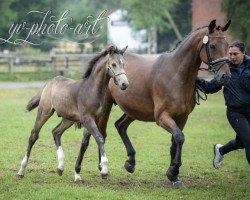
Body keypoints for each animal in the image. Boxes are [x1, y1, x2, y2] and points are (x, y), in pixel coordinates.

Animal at [17, 45, 129, 180]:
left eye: (124, 63)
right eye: (113, 64)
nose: (124, 84)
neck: (91, 90)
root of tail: (50, 82)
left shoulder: (94, 119)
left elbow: (85, 143)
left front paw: (77, 174)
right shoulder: (87, 119)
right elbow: (99, 138)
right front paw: (104, 170)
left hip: (68, 119)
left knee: (56, 132)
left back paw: (60, 167)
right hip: (44, 111)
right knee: (34, 135)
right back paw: (21, 170)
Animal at [75, 19, 231, 185]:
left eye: (227, 45)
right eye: (213, 46)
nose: (225, 76)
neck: (176, 75)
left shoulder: (182, 118)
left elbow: (175, 141)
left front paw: (173, 175)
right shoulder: (162, 117)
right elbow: (179, 137)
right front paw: (173, 170)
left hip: (134, 110)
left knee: (120, 126)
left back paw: (130, 162)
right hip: (105, 108)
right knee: (99, 134)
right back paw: (102, 168)